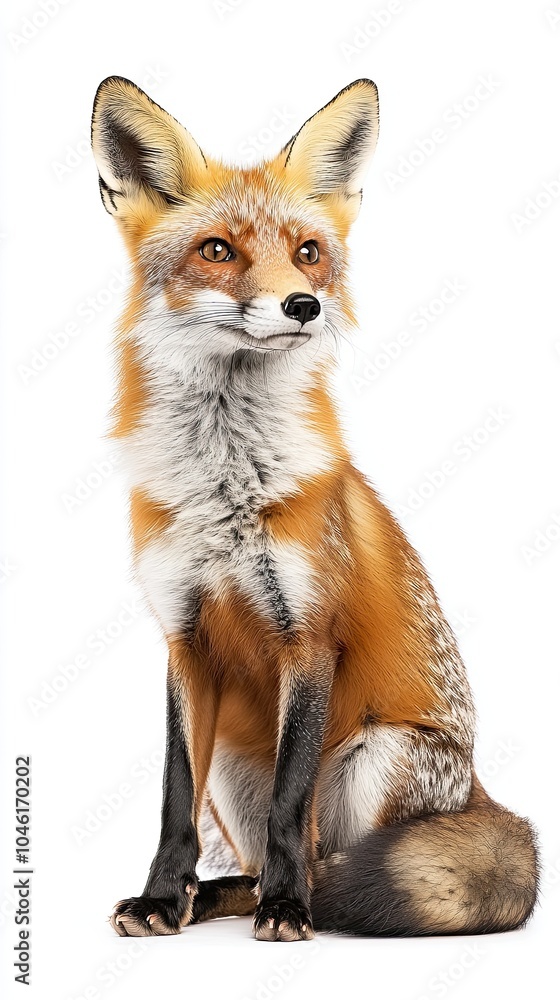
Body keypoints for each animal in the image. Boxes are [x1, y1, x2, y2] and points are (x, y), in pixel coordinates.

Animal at [91, 76, 538, 942]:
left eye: (307, 252)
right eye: (218, 251)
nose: (303, 305)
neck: (227, 485)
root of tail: (479, 789)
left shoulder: (309, 634)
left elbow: (291, 805)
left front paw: (288, 909)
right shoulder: (184, 639)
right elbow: (172, 800)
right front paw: (162, 896)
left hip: (376, 759)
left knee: (324, 850)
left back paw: (298, 898)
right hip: (235, 767)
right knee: (257, 853)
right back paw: (214, 897)